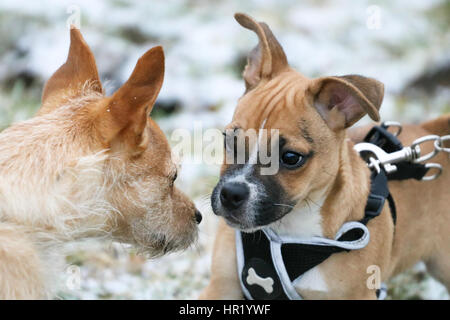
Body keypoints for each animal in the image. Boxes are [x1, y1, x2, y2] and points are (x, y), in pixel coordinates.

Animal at [201, 13, 450, 300]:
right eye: (228, 139)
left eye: (290, 157)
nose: (231, 194)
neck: (288, 231)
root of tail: (432, 130)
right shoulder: (221, 286)